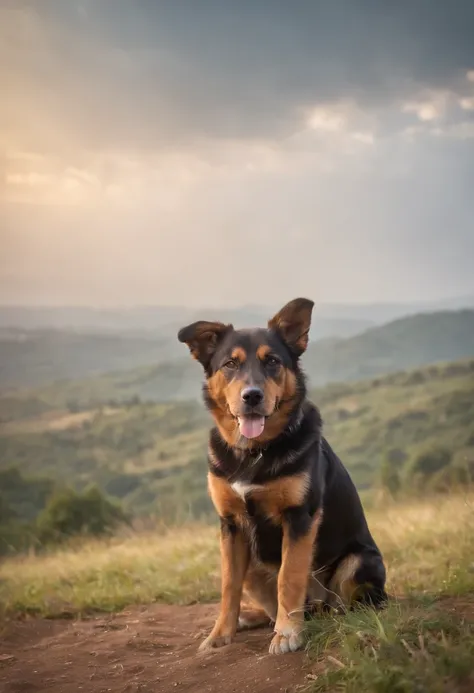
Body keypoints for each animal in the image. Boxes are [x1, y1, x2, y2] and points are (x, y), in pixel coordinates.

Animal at [177, 298, 386, 656]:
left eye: (272, 361)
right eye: (230, 364)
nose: (252, 396)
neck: (254, 453)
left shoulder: (299, 517)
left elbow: (289, 577)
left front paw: (288, 634)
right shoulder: (230, 525)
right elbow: (228, 587)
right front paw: (220, 634)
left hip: (360, 562)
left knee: (348, 605)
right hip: (251, 562)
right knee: (264, 602)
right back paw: (252, 617)